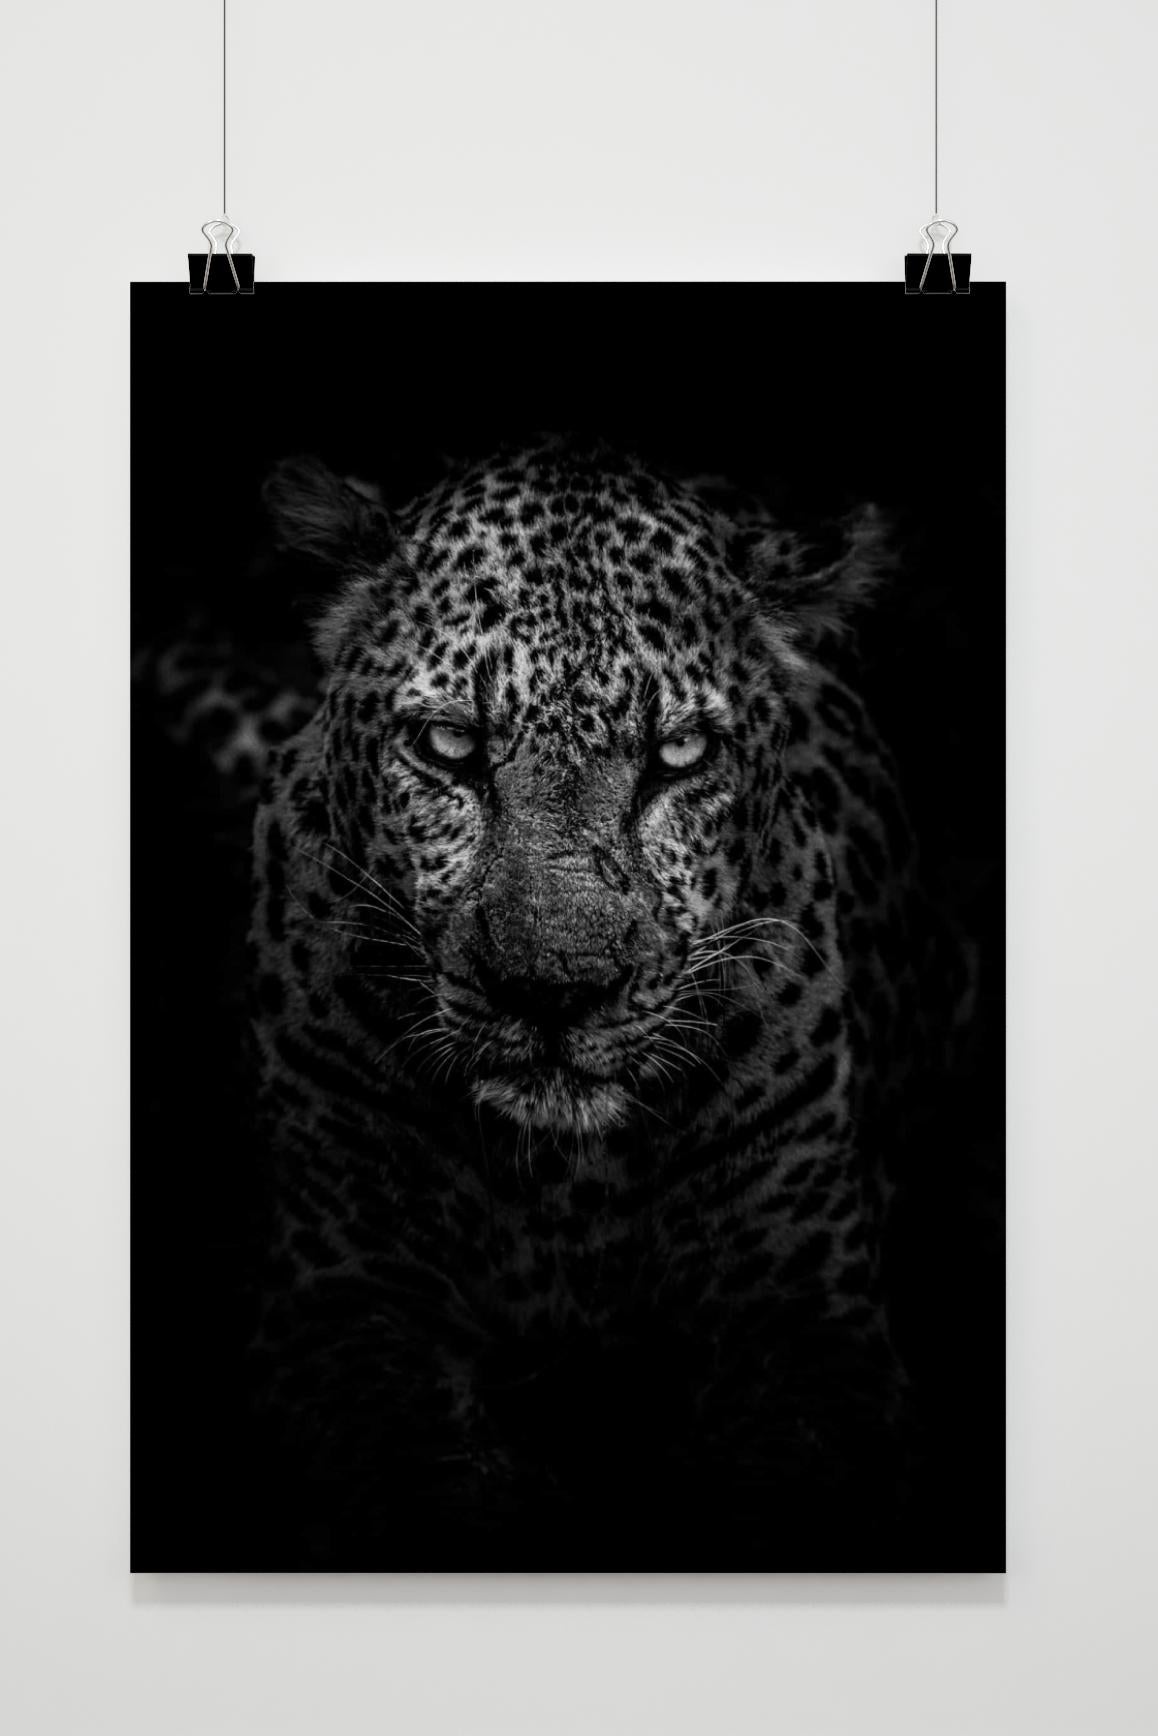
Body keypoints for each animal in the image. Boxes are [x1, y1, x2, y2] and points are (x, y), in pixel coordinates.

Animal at [214, 436, 977, 1567]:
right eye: (448, 746)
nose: (554, 990)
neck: (561, 1186)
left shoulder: (807, 1322)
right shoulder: (340, 1300)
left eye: (680, 755)